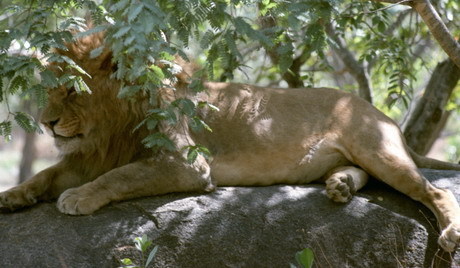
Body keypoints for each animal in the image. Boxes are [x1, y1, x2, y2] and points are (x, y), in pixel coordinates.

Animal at [0, 32, 460, 252]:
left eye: (71, 91)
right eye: (47, 90)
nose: (45, 124)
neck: (112, 125)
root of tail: (378, 111)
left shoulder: (186, 164)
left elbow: (121, 176)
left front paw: (79, 197)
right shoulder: (90, 156)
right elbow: (48, 173)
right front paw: (13, 195)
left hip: (377, 148)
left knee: (435, 191)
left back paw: (450, 232)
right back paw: (341, 185)